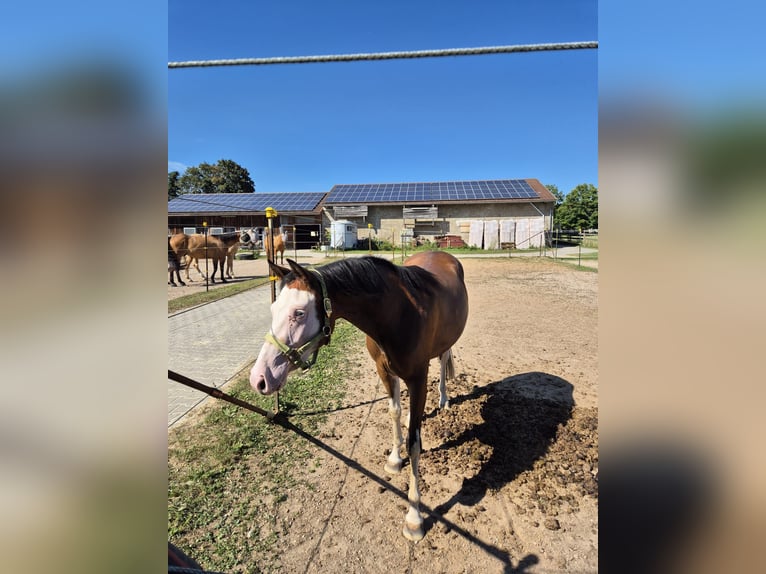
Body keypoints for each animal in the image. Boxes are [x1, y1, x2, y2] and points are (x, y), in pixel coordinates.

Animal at [250, 254, 468, 544]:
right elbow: (394, 412)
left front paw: (414, 518)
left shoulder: (418, 377)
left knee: (443, 360)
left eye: (299, 313)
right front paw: (394, 458)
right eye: (274, 309)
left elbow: (414, 443)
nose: (259, 378)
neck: (397, 314)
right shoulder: (384, 370)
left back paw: (443, 398)